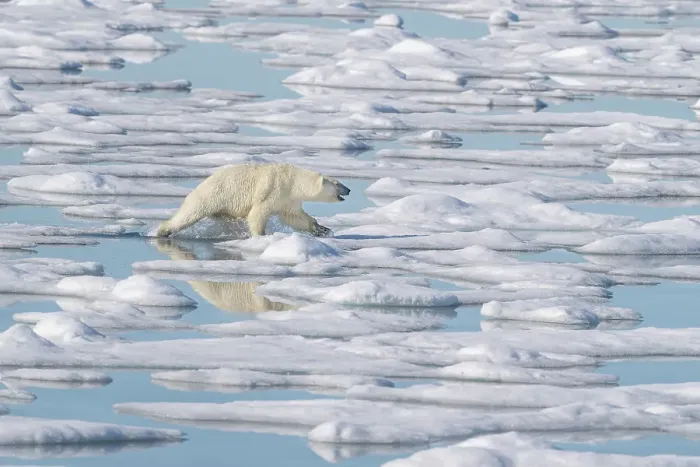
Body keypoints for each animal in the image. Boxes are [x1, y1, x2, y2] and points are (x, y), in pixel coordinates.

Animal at [155, 163, 350, 238]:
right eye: (337, 183)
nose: (349, 189)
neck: (292, 180)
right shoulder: (273, 189)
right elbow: (258, 213)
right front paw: (261, 235)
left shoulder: (288, 199)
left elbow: (295, 217)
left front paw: (322, 229)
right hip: (211, 196)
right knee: (189, 213)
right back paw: (162, 231)